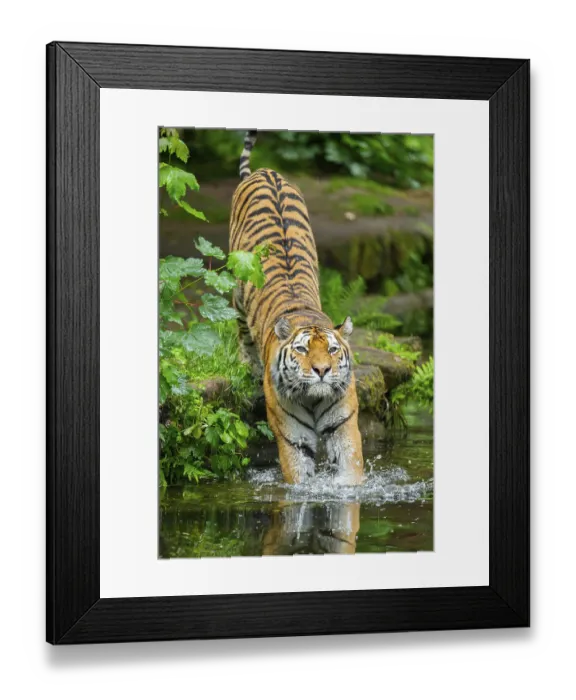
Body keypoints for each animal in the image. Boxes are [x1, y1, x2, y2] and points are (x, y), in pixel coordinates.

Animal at [230, 131, 364, 485]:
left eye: (332, 350)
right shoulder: (292, 437)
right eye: (302, 349)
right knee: (240, 331)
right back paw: (247, 365)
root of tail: (264, 171)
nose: (322, 371)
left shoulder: (345, 427)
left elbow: (350, 474)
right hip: (235, 288)